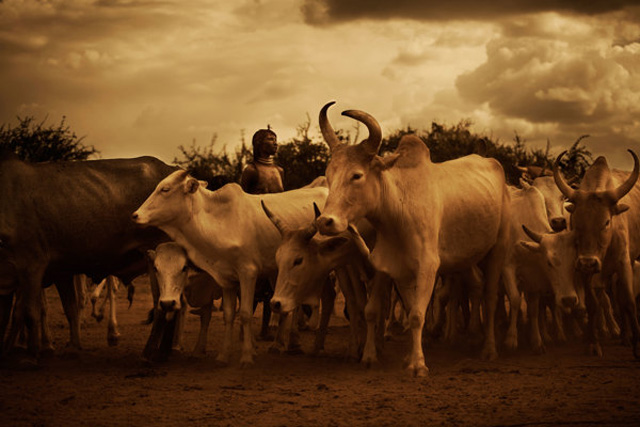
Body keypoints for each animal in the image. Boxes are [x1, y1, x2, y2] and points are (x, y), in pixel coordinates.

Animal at [132, 171, 328, 364]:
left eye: (165, 189)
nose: (135, 215)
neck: (221, 222)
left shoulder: (248, 273)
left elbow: (246, 313)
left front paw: (247, 355)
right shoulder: (225, 279)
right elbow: (228, 315)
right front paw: (224, 355)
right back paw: (280, 344)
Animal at [316, 103, 510, 378]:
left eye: (356, 175)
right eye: (329, 176)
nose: (325, 221)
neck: (399, 208)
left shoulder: (428, 267)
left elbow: (418, 315)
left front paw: (418, 365)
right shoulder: (394, 268)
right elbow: (403, 311)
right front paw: (401, 357)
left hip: (498, 249)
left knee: (490, 298)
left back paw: (489, 350)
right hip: (467, 258)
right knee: (476, 288)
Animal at [552, 150, 636, 358]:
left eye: (606, 222)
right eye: (575, 220)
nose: (589, 262)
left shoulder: (624, 262)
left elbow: (630, 301)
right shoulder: (584, 269)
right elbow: (592, 304)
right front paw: (593, 343)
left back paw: (626, 336)